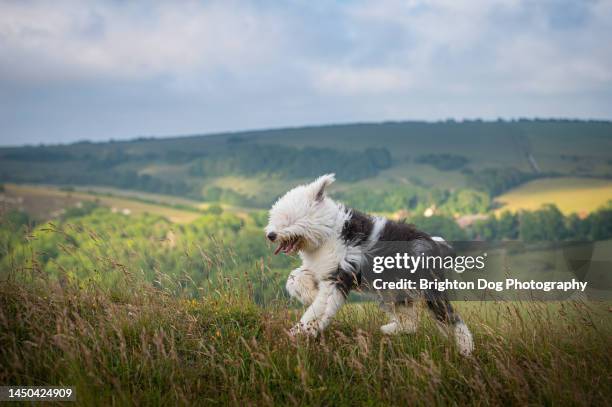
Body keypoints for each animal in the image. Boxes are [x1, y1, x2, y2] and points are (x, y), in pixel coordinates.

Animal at [262, 174, 474, 356]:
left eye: (289, 218)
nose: (270, 235)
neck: (328, 232)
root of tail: (437, 244)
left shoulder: (337, 277)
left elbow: (319, 309)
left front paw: (299, 332)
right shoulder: (322, 268)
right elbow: (294, 279)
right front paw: (309, 295)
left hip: (428, 289)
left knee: (452, 319)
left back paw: (466, 348)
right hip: (393, 292)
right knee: (410, 322)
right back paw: (390, 329)